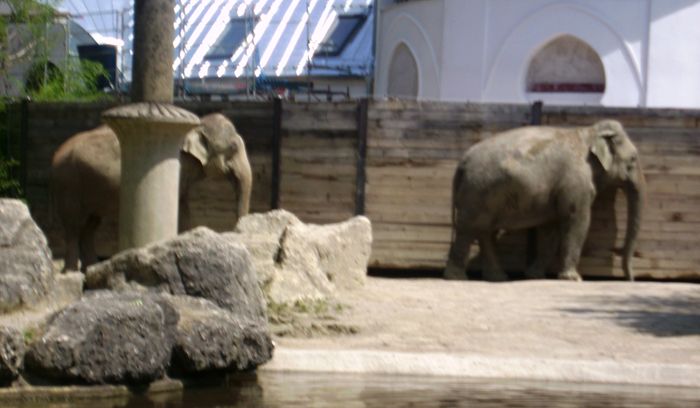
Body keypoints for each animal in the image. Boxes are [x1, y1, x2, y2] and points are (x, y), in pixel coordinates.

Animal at [52, 111, 254, 272]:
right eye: (233, 148)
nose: (237, 230)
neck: (198, 123)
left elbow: (183, 205)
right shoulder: (178, 164)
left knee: (90, 225)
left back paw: (89, 268)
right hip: (68, 181)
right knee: (73, 225)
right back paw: (71, 271)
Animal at [442, 119, 644, 282]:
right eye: (633, 159)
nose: (631, 279)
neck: (589, 132)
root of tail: (461, 164)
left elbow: (551, 229)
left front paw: (535, 275)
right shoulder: (576, 182)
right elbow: (577, 220)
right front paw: (573, 279)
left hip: (484, 193)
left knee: (485, 231)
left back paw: (498, 278)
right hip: (478, 191)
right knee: (468, 229)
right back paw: (457, 277)